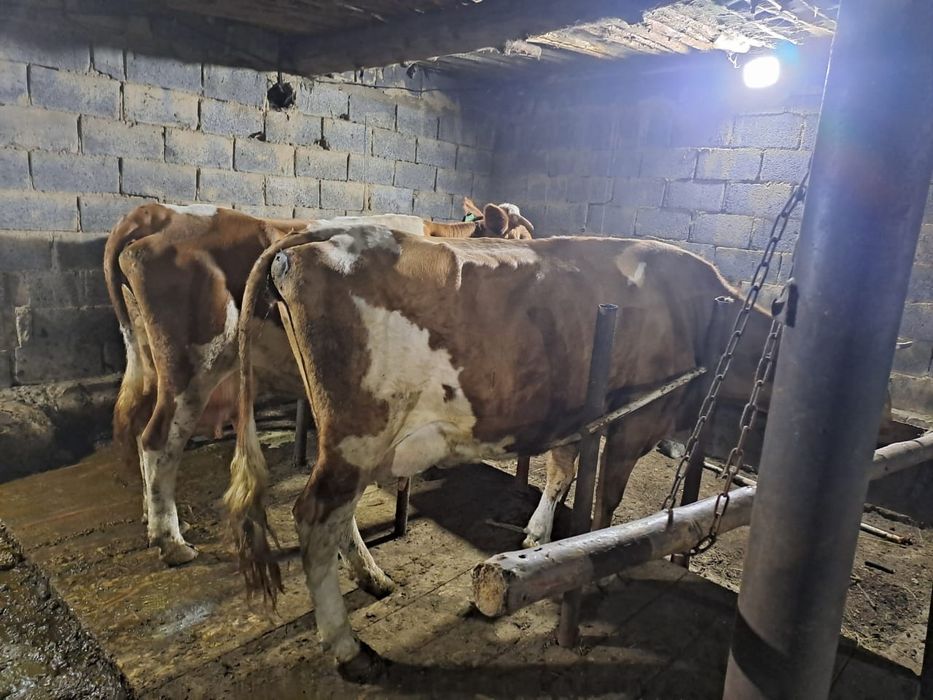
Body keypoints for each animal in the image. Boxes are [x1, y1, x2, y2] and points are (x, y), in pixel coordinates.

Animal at [104, 201, 533, 566]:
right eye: (519, 239)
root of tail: (160, 213)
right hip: (194, 367)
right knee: (158, 442)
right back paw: (171, 542)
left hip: (152, 360)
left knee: (144, 435)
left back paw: (155, 520)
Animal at [225, 223, 777, 680]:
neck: (702, 312)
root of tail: (317, 236)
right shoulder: (636, 423)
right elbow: (607, 502)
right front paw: (608, 568)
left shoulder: (570, 419)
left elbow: (561, 474)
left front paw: (538, 536)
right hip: (359, 432)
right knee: (316, 517)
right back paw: (349, 649)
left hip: (345, 438)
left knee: (341, 517)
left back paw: (374, 578)